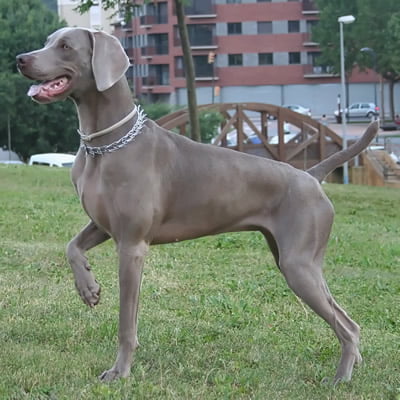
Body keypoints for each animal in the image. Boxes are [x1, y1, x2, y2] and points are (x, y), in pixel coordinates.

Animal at [16, 26, 378, 382]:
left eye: (65, 46)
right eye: (48, 42)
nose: (20, 58)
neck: (105, 145)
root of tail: (311, 174)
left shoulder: (132, 244)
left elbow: (126, 321)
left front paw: (120, 371)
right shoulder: (103, 225)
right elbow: (71, 247)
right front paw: (88, 288)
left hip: (298, 263)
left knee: (347, 324)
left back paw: (341, 378)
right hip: (293, 257)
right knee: (347, 319)